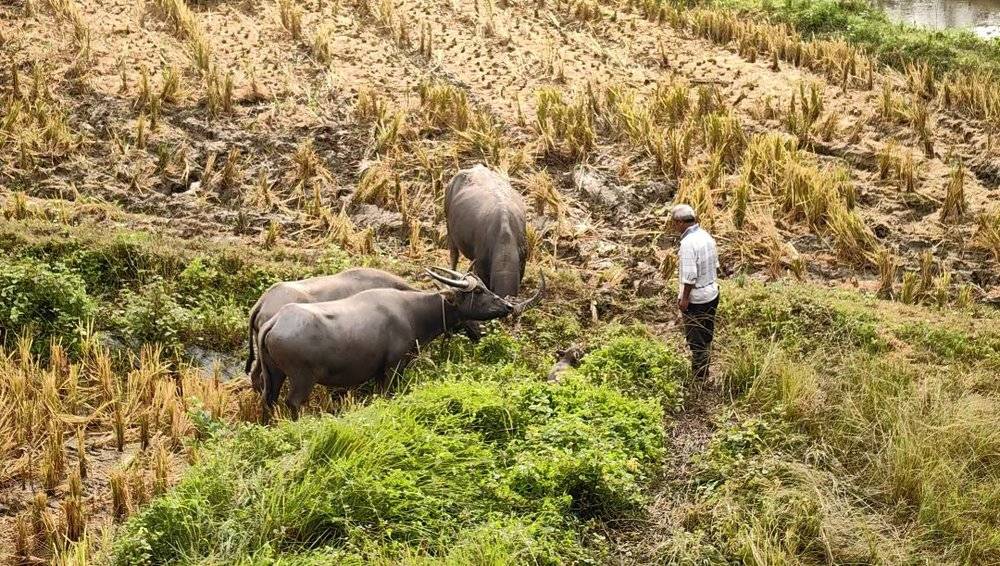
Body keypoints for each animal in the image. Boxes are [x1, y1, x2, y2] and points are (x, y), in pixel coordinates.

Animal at [254, 268, 544, 422]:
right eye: (479, 291)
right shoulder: (394, 367)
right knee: (293, 402)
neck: (412, 312)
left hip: (274, 374)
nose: (507, 306)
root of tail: (275, 320)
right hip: (302, 378)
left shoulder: (380, 372)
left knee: (269, 398)